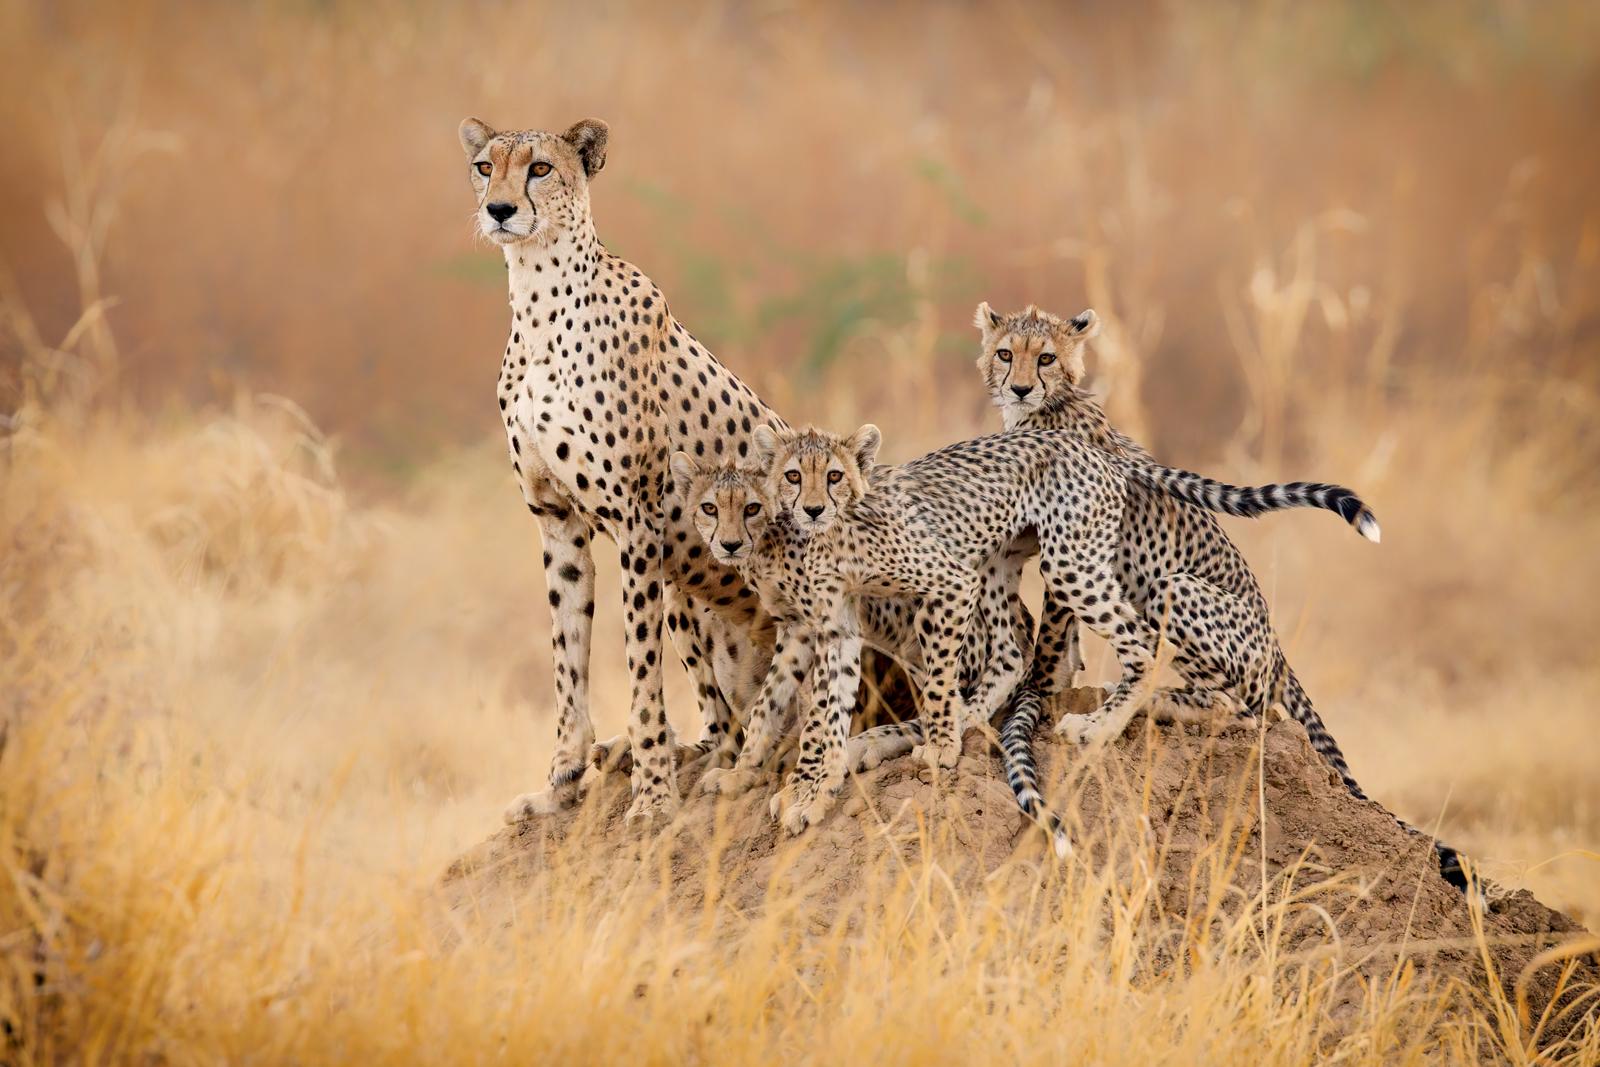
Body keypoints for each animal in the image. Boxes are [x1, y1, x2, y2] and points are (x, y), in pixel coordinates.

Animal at [973, 300, 1466, 888]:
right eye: (1006, 353)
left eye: (1045, 357)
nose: (1022, 387)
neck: (1053, 404)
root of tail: (1276, 648)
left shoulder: (1068, 543)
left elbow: (1050, 640)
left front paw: (1041, 691)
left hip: (1176, 589)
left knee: (1236, 708)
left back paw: (1120, 716)